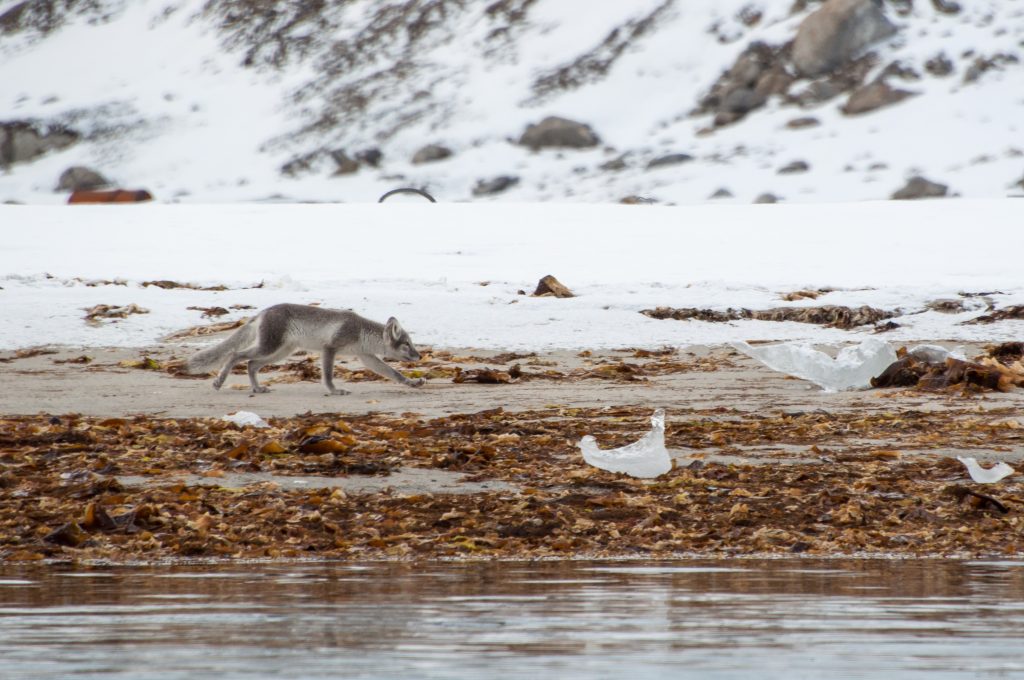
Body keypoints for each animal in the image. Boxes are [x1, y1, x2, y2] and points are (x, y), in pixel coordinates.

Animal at [185, 303, 425, 395]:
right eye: (407, 344)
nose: (419, 356)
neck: (360, 332)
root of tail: (263, 311)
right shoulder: (330, 348)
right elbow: (327, 375)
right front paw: (334, 390)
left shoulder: (366, 357)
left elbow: (393, 373)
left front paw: (412, 382)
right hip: (269, 347)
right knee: (236, 355)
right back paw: (219, 381)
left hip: (281, 352)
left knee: (251, 364)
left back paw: (257, 388)